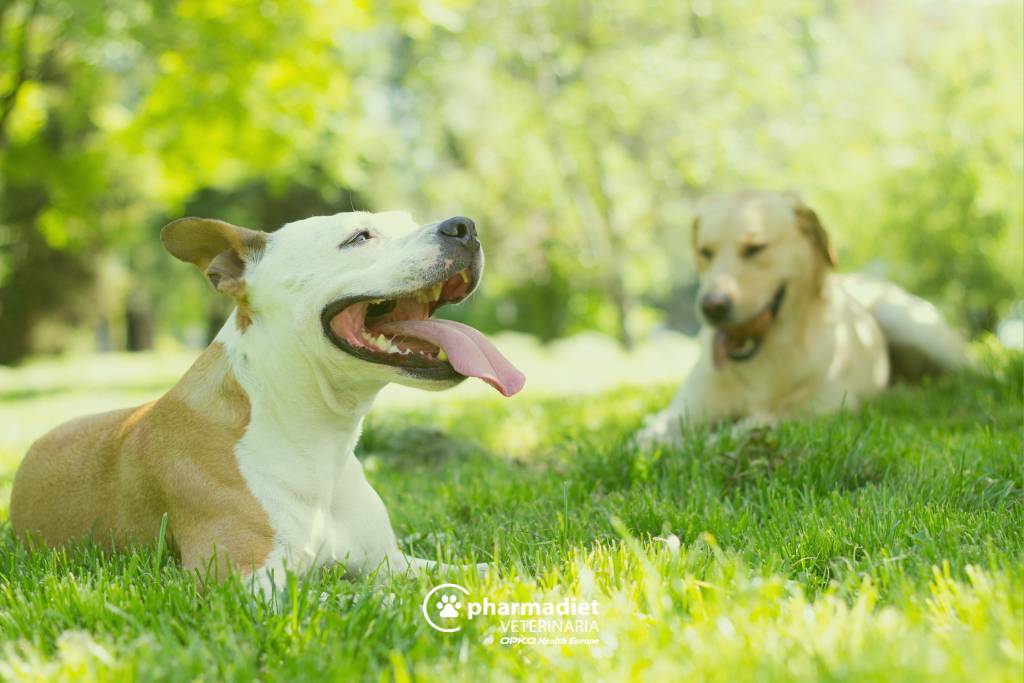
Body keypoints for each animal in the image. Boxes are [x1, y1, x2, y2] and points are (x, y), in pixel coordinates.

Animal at [10, 211, 525, 596]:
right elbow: (355, 598)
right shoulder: (243, 584)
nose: (464, 226)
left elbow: (470, 572)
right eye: (359, 237)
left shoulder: (389, 561)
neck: (317, 438)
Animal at [637, 190, 967, 445]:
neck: (762, 362)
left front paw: (709, 440)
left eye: (755, 248)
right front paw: (661, 439)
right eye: (705, 252)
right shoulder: (687, 406)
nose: (712, 306)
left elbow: (747, 425)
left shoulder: (816, 411)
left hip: (915, 328)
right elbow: (650, 435)